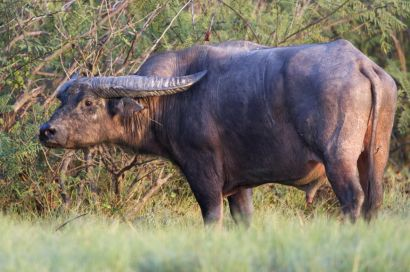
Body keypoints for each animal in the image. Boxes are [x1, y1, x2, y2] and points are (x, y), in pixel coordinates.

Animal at [40, 40, 396, 226]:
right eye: (63, 99)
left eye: (88, 102)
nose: (47, 131)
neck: (172, 101)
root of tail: (360, 63)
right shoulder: (240, 183)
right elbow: (244, 218)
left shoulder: (202, 170)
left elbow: (212, 215)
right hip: (374, 157)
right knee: (374, 199)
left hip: (338, 158)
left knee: (353, 197)